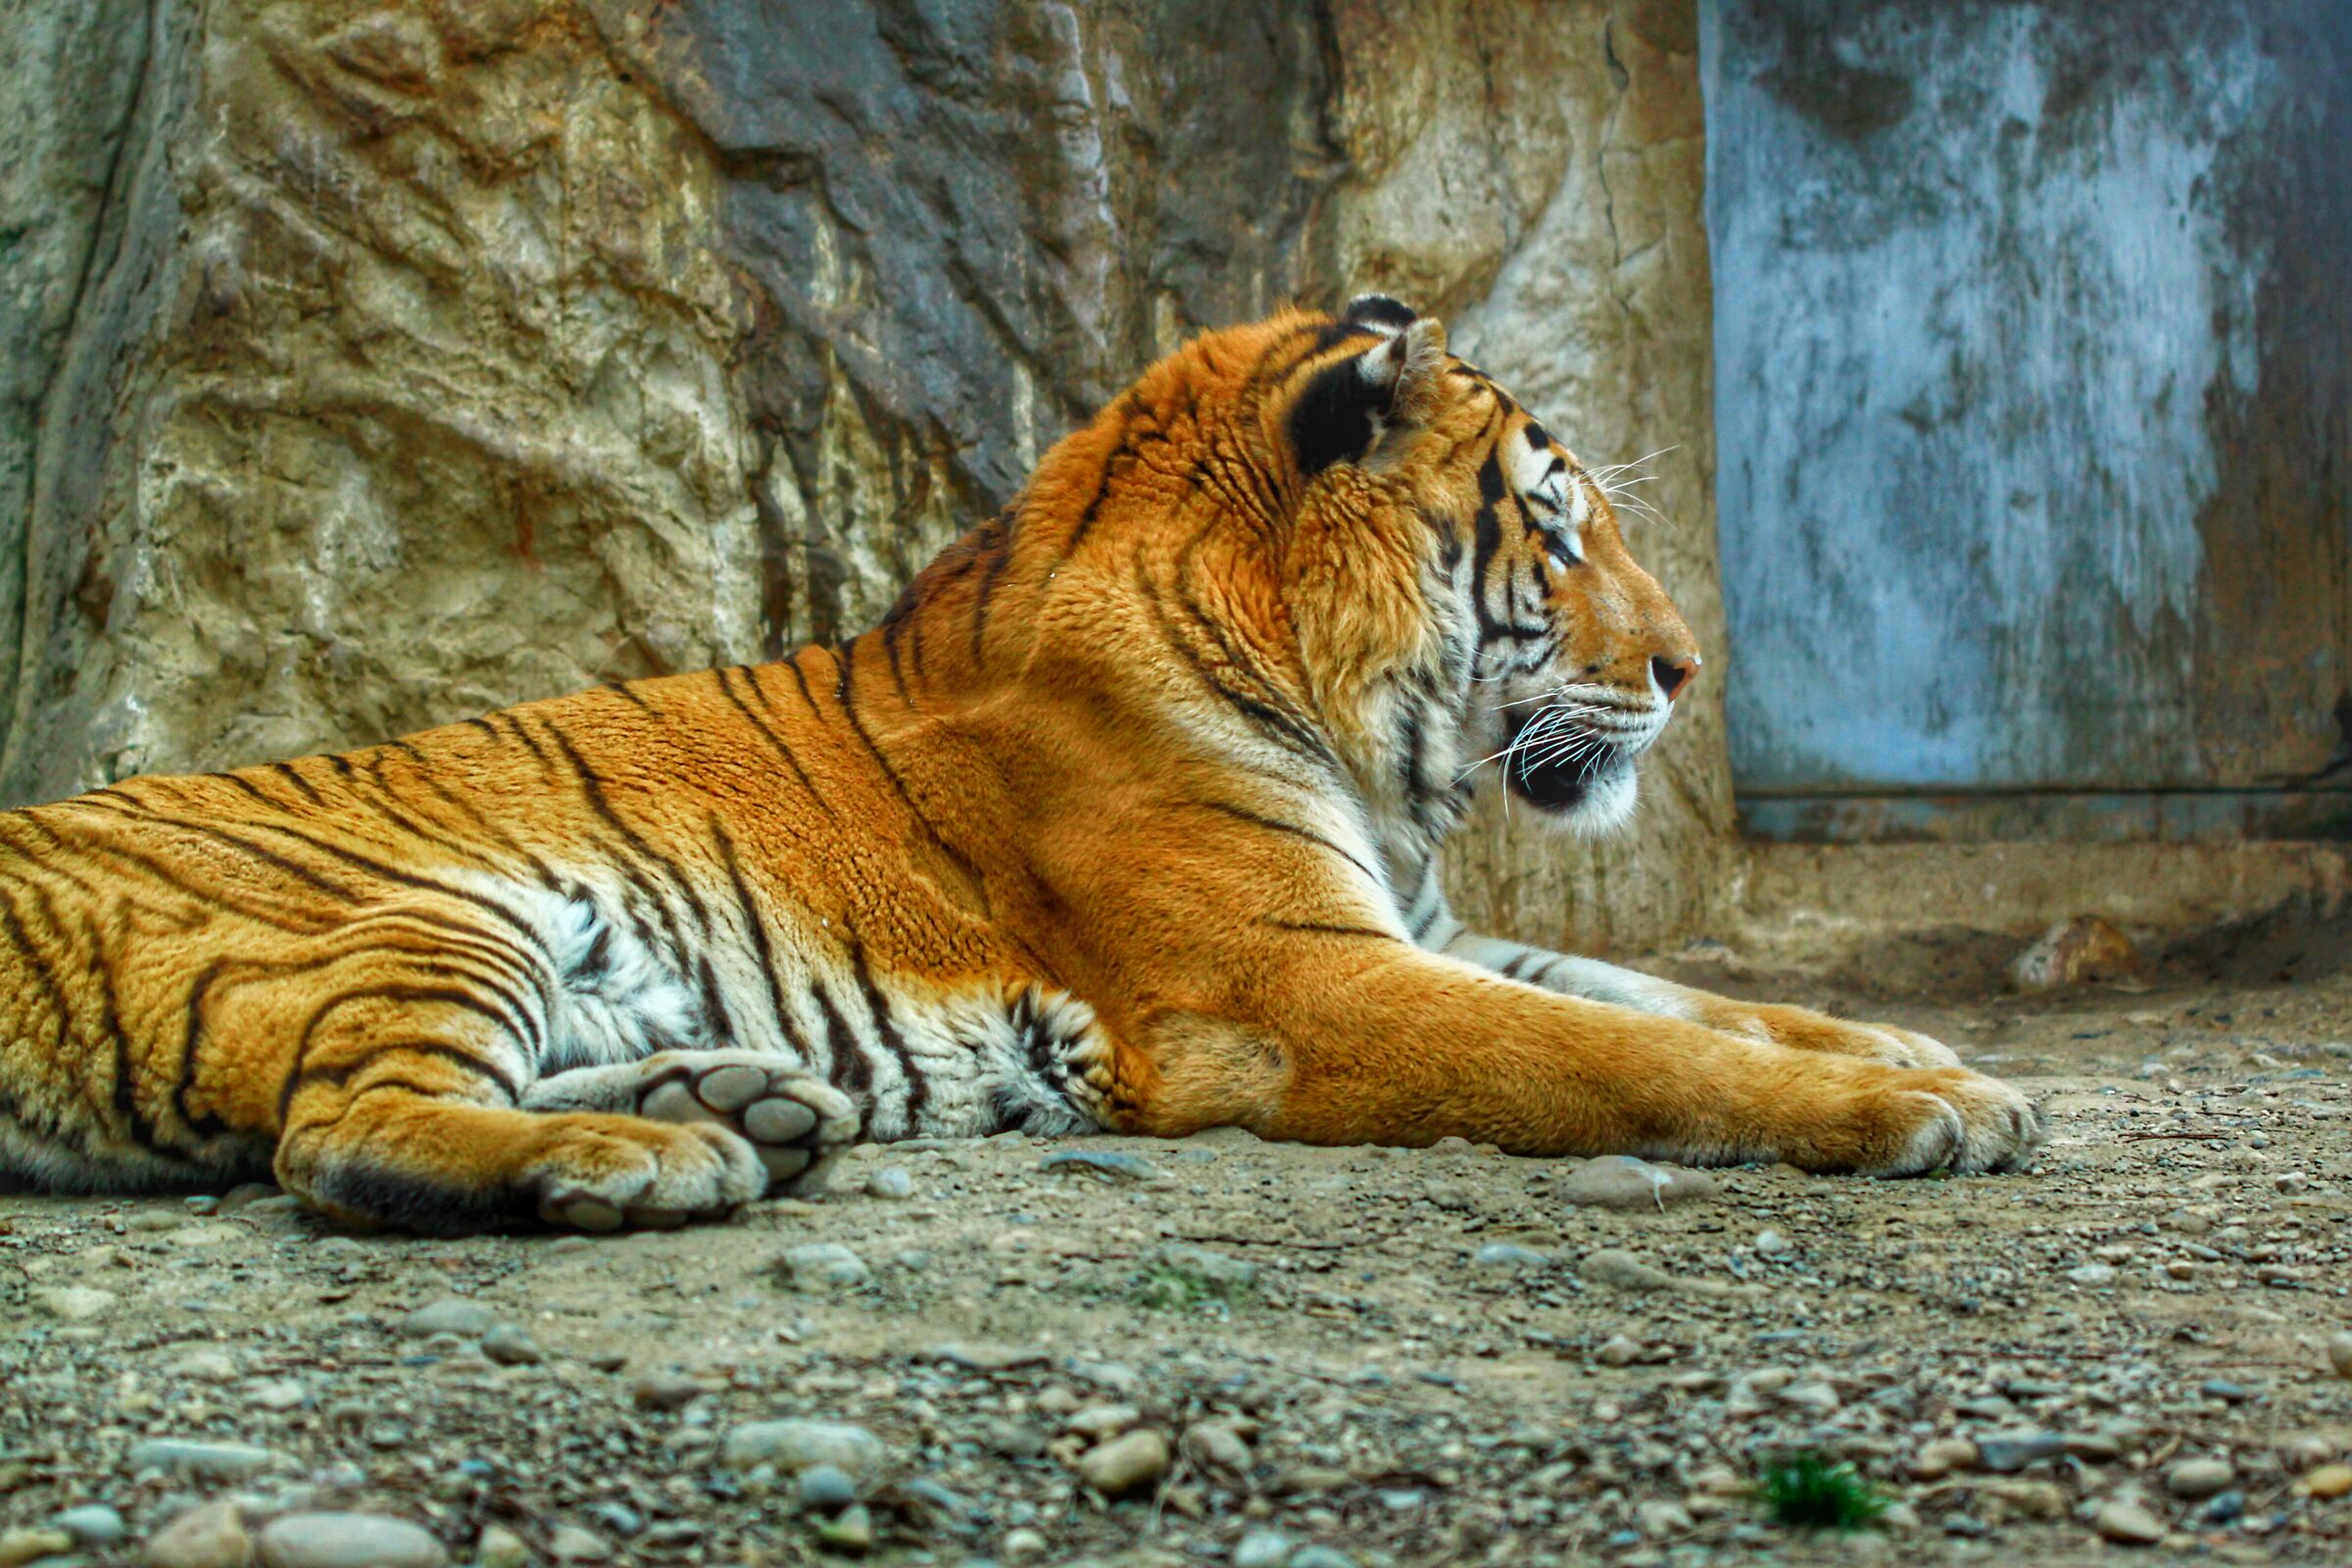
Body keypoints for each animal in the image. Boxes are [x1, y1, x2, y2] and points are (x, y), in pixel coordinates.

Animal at [0, 297, 2044, 1234]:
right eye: (1554, 533)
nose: (1687, 672)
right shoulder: (1295, 983)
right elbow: (1631, 1053)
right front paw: (1918, 1114)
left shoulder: (1416, 927)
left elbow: (1687, 995)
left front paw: (1939, 1056)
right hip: (428, 910)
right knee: (334, 1132)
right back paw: (653, 1158)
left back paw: (742, 1103)